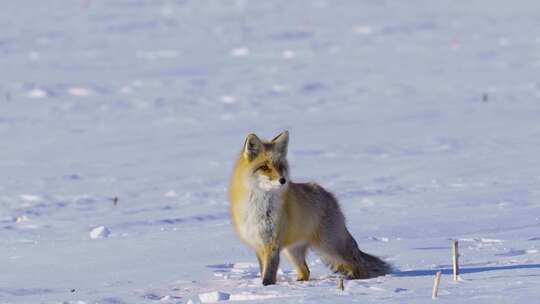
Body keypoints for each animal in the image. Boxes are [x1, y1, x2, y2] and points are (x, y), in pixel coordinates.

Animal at [229, 131, 392, 284]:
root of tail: (330, 196)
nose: (283, 180)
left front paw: (266, 287)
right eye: (264, 167)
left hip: (330, 247)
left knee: (359, 265)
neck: (258, 207)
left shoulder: (272, 243)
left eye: (281, 166)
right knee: (306, 271)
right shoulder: (258, 244)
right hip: (292, 251)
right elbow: (264, 271)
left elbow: (268, 275)